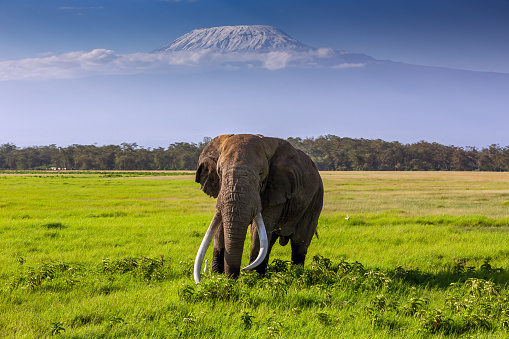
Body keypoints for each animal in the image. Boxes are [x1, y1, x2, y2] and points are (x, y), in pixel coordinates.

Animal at [192, 134, 324, 282]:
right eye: (220, 172)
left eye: (261, 174)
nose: (233, 278)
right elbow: (220, 227)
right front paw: (217, 275)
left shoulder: (277, 187)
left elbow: (261, 226)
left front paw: (253, 278)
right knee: (270, 241)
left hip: (316, 199)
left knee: (299, 241)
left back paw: (297, 274)